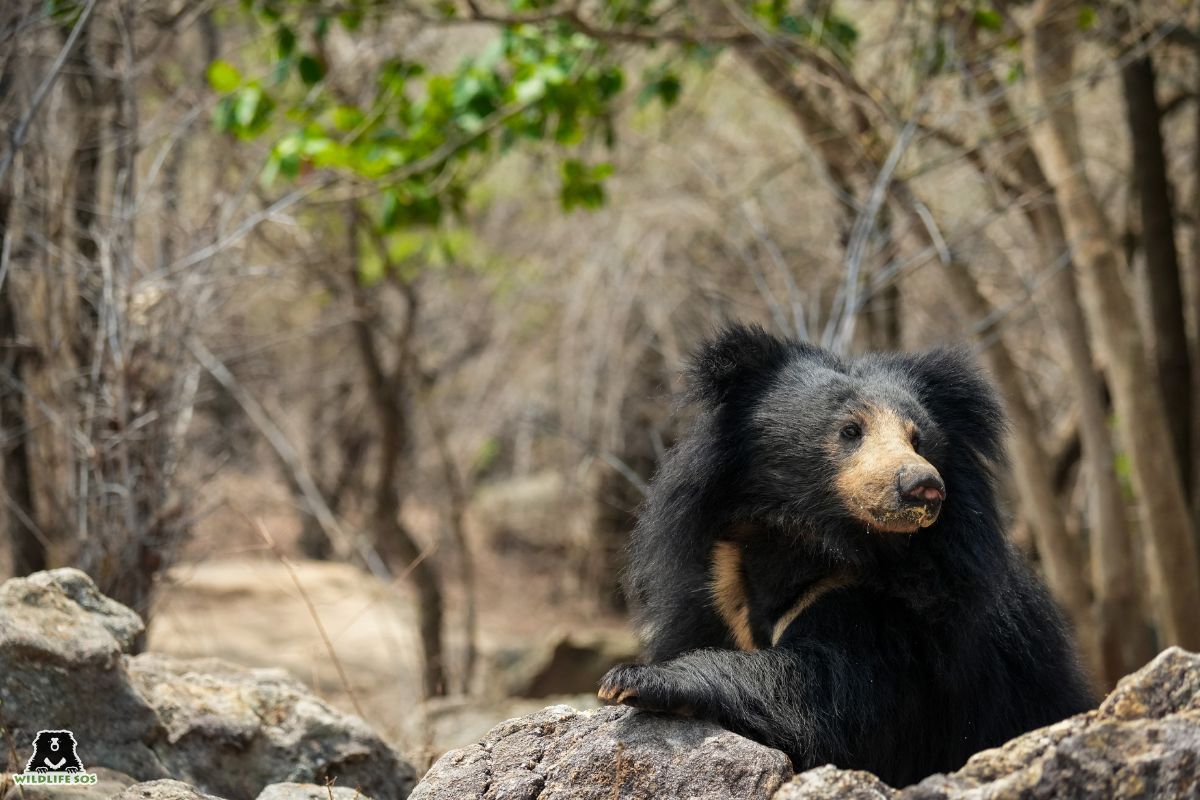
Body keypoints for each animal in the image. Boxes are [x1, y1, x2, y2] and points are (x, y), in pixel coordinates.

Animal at [598, 324, 1095, 787]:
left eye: (919, 439)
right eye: (850, 430)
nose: (924, 486)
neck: (810, 538)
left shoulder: (901, 613)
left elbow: (826, 697)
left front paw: (633, 681)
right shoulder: (716, 586)